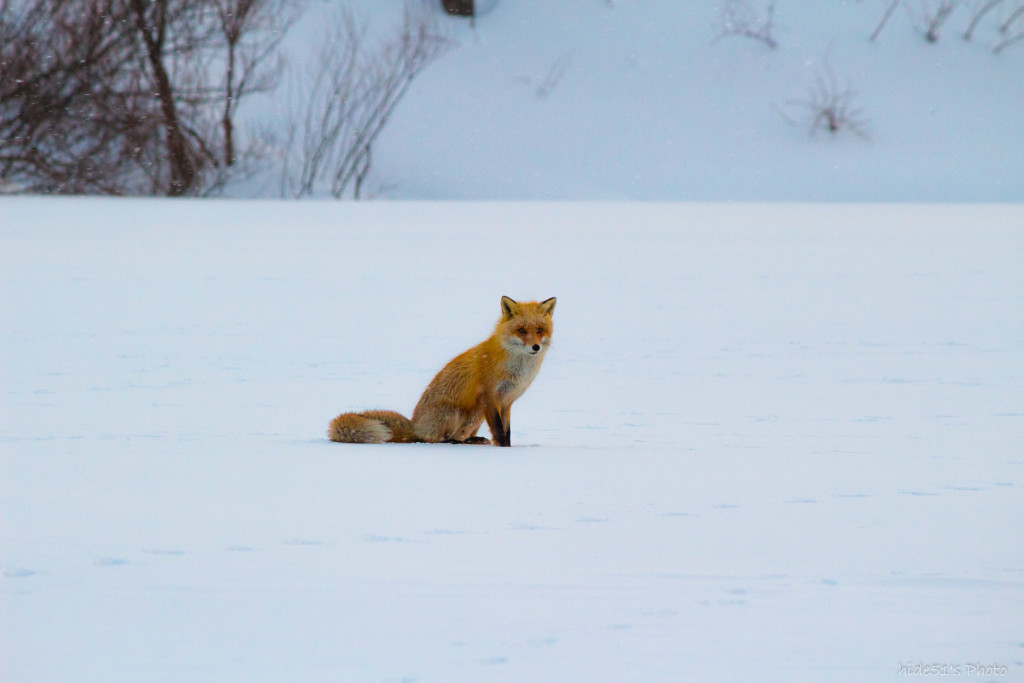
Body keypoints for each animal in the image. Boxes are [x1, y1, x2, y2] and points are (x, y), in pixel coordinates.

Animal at [327, 294, 557, 448]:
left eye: (540, 330)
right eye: (521, 330)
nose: (535, 347)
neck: (517, 368)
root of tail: (414, 425)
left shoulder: (507, 401)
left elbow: (507, 432)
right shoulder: (489, 397)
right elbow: (500, 433)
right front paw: (505, 452)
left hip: (475, 417)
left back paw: (473, 440)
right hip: (457, 412)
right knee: (436, 440)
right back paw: (454, 443)